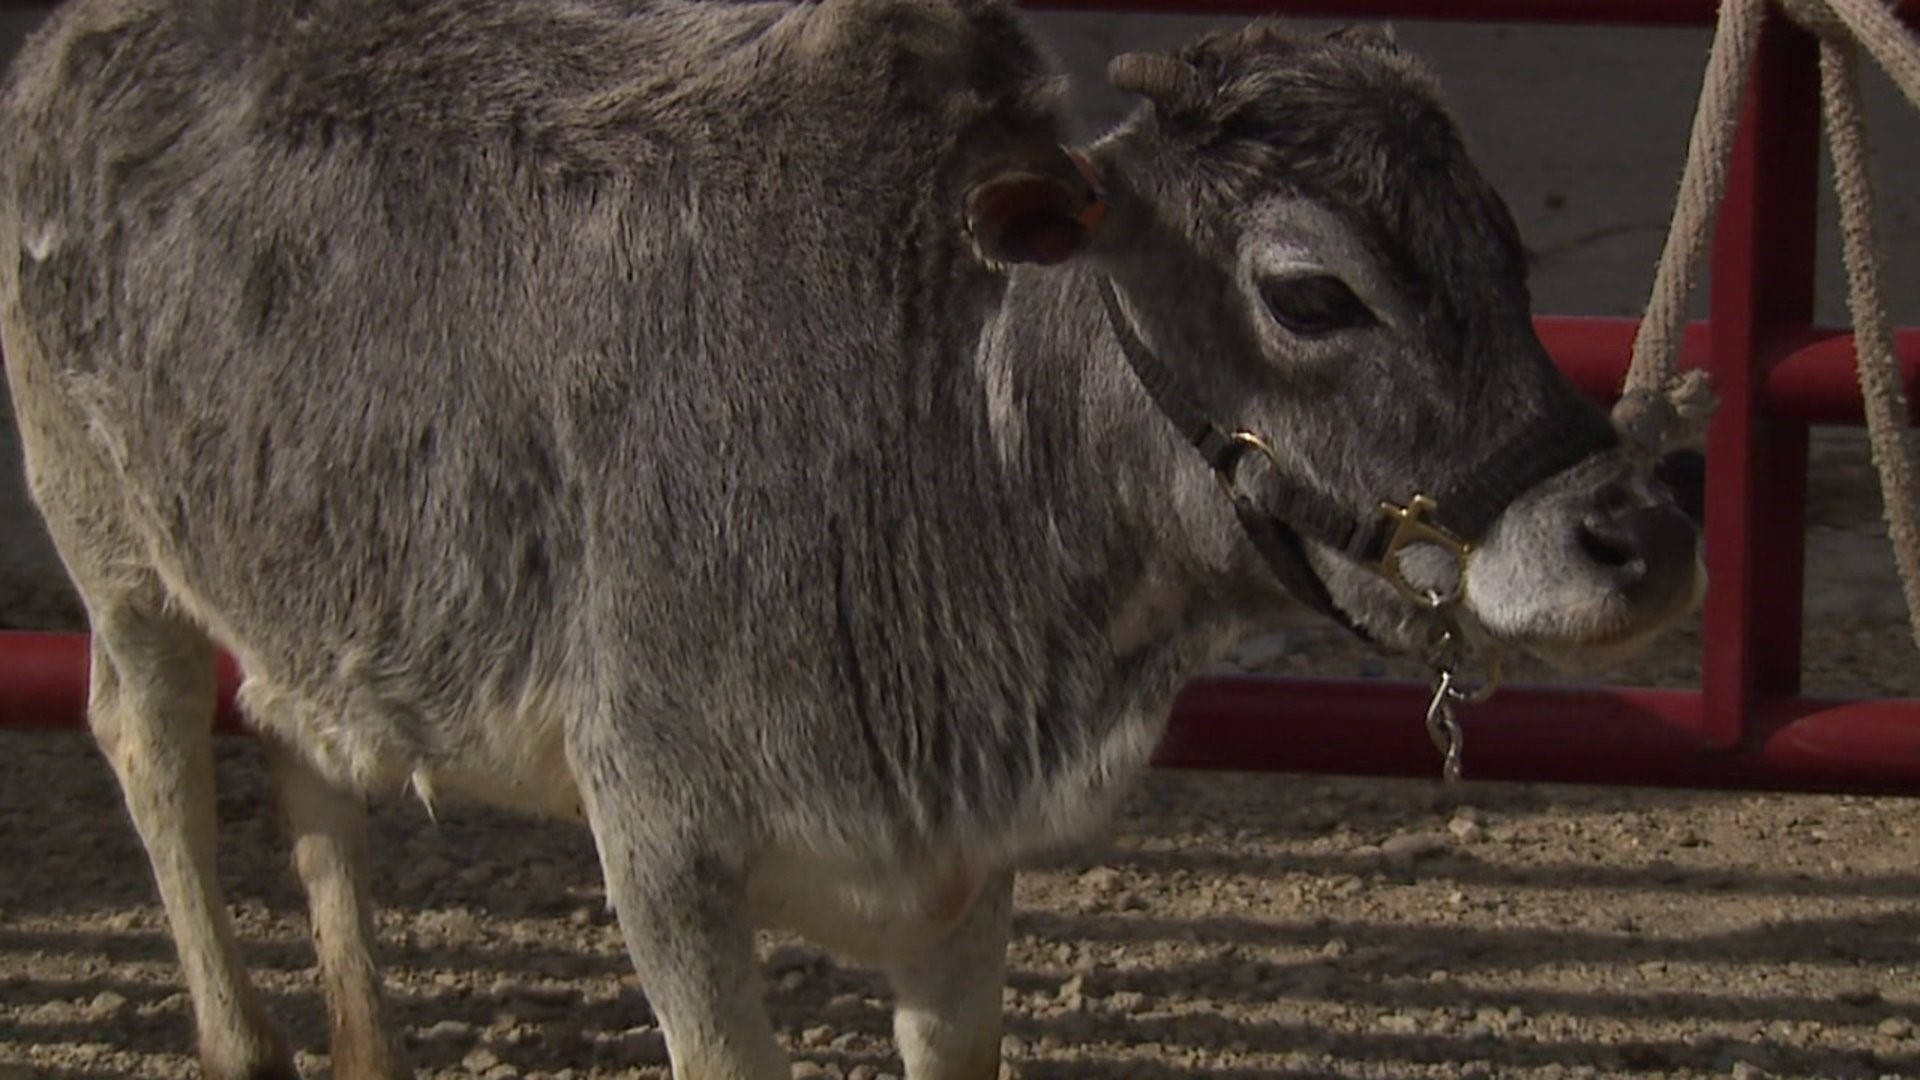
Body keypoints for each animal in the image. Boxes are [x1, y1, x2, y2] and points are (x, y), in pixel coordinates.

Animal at [0, 4, 1704, 1068]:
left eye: (1507, 247)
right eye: (1310, 291)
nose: (1638, 533)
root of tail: (73, 38)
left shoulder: (959, 879)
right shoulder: (663, 856)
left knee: (302, 745)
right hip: (111, 547)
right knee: (148, 739)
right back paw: (245, 1040)